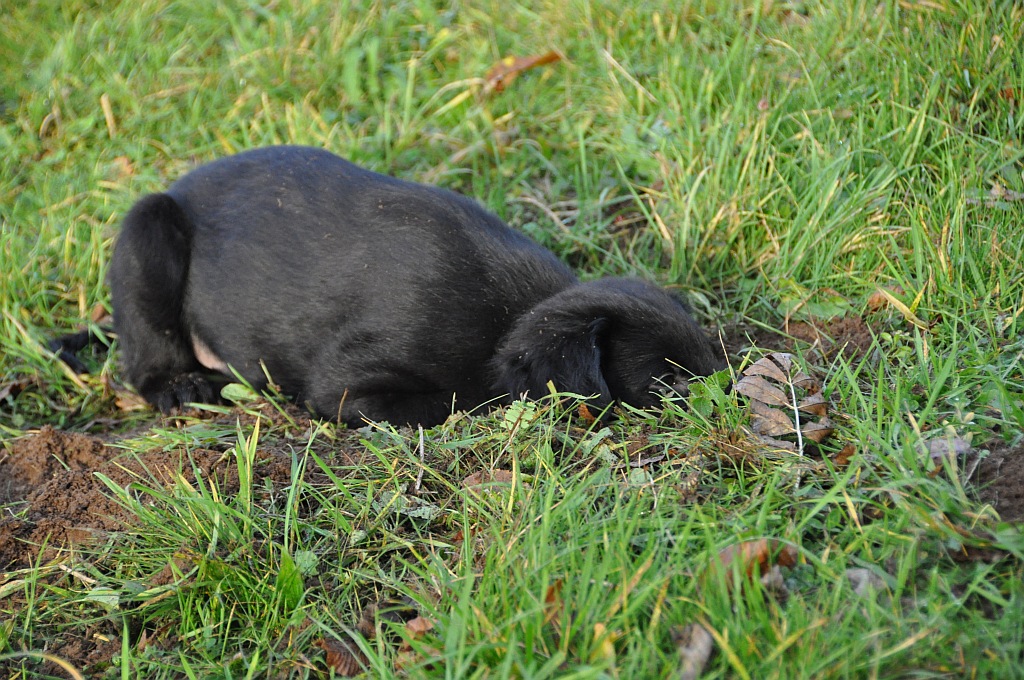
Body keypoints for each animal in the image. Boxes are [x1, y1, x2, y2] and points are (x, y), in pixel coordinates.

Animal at [108, 146, 724, 428]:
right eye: (666, 383)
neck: (516, 315)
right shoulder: (347, 387)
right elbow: (461, 399)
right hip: (145, 229)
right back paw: (182, 386)